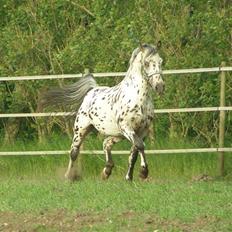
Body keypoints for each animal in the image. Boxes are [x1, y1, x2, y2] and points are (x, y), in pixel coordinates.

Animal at [38, 44, 165, 181]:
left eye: (160, 61)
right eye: (146, 63)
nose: (160, 86)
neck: (137, 98)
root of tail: (92, 90)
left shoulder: (142, 131)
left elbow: (134, 153)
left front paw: (130, 177)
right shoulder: (127, 127)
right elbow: (140, 146)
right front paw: (143, 172)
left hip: (117, 134)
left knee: (106, 144)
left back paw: (106, 171)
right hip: (81, 130)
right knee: (74, 152)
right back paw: (69, 176)